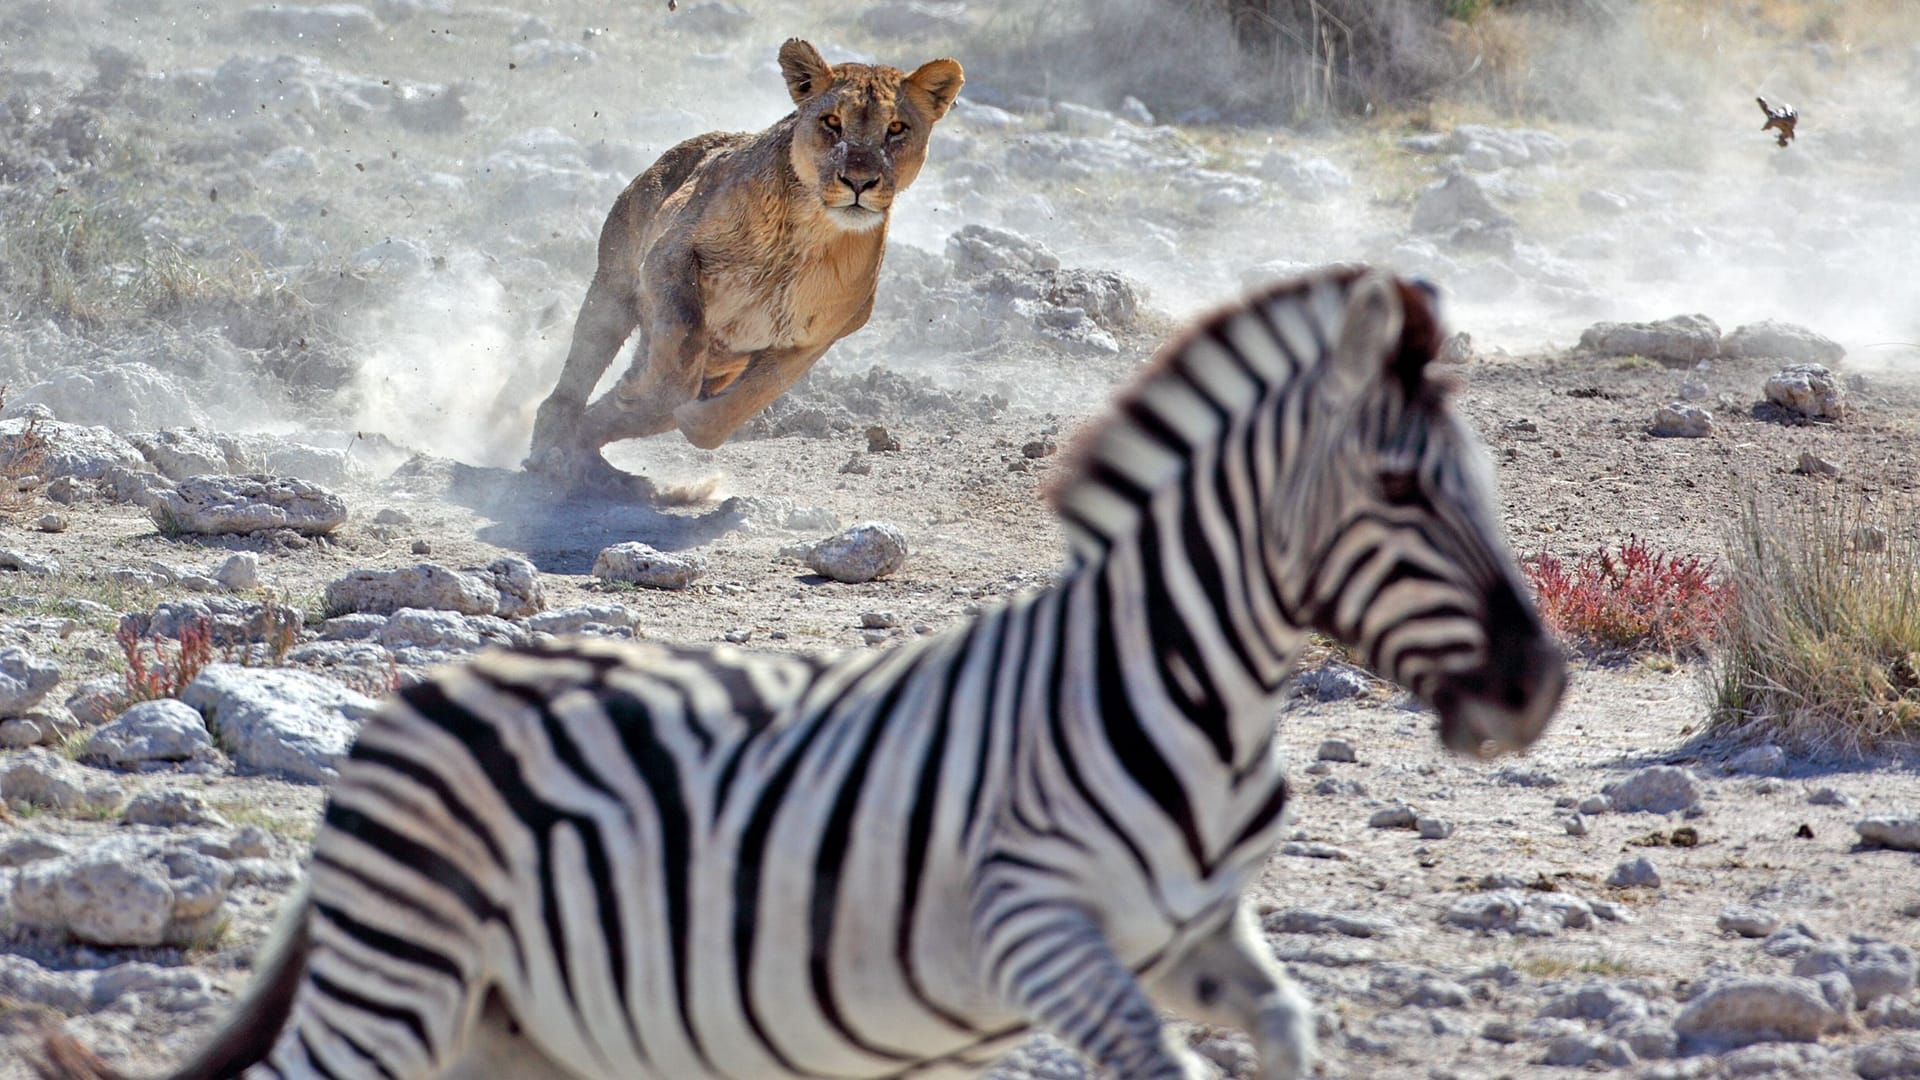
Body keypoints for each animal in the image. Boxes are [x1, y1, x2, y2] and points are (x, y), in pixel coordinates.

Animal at [41, 265, 1559, 1076]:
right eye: (1401, 491)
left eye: (1485, 484)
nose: (1539, 687)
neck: (1185, 695)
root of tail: (420, 708)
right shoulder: (1034, 927)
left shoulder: (1195, 935)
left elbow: (1289, 1022)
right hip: (401, 979)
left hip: (509, 1016)